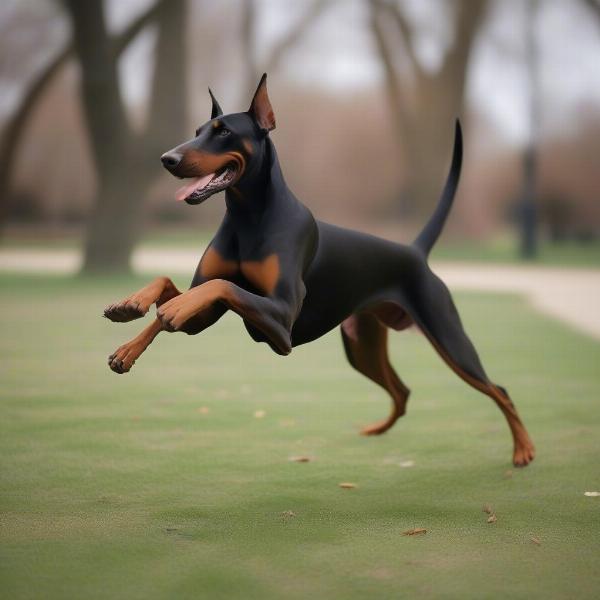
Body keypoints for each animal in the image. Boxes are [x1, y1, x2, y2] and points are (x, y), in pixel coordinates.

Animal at [103, 75, 536, 466]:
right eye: (196, 131)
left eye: (223, 131)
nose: (168, 159)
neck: (248, 215)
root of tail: (414, 252)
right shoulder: (208, 317)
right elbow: (176, 287)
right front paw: (128, 321)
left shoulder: (281, 324)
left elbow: (218, 286)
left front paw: (168, 310)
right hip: (361, 346)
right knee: (402, 391)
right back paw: (376, 429)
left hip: (447, 333)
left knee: (499, 389)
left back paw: (523, 450)